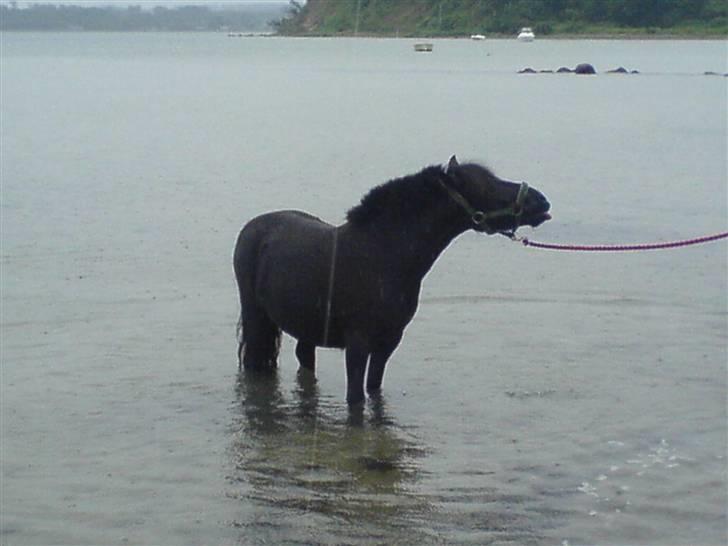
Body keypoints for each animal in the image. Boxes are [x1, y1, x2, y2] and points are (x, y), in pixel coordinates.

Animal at [235, 156, 552, 404]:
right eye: (486, 186)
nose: (541, 201)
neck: (383, 254)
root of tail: (253, 226)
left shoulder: (388, 343)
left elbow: (374, 390)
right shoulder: (358, 344)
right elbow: (356, 399)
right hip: (255, 316)